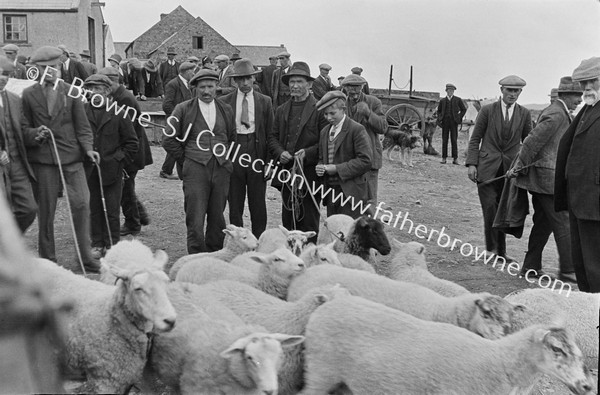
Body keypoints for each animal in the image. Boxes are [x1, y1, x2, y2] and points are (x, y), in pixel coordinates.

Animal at [302, 294, 592, 395]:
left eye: (579, 354)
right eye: (556, 349)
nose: (588, 386)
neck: (498, 361)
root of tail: (330, 303)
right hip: (322, 372)